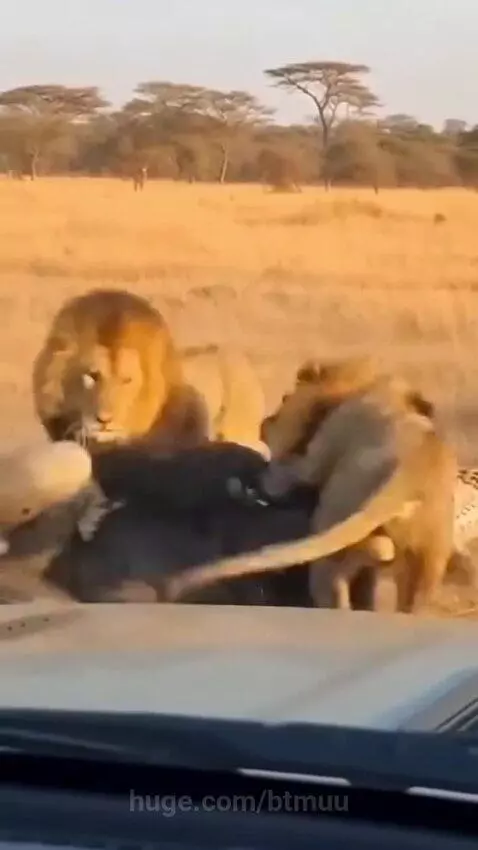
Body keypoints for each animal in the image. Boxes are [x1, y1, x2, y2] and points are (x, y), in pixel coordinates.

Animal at [165, 357, 457, 614]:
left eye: (285, 399)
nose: (265, 422)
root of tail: (410, 477)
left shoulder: (322, 447)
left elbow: (289, 475)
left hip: (335, 509)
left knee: (331, 586)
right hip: (427, 556)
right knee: (407, 595)